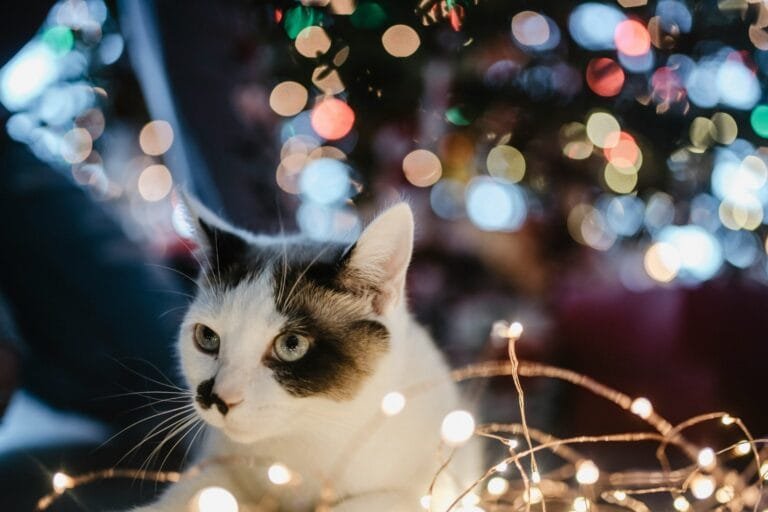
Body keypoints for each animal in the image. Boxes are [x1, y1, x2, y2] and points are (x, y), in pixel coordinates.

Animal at [130, 200, 480, 512]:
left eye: (291, 345)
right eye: (207, 338)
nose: (218, 398)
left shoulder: (428, 487)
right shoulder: (219, 460)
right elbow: (201, 491)